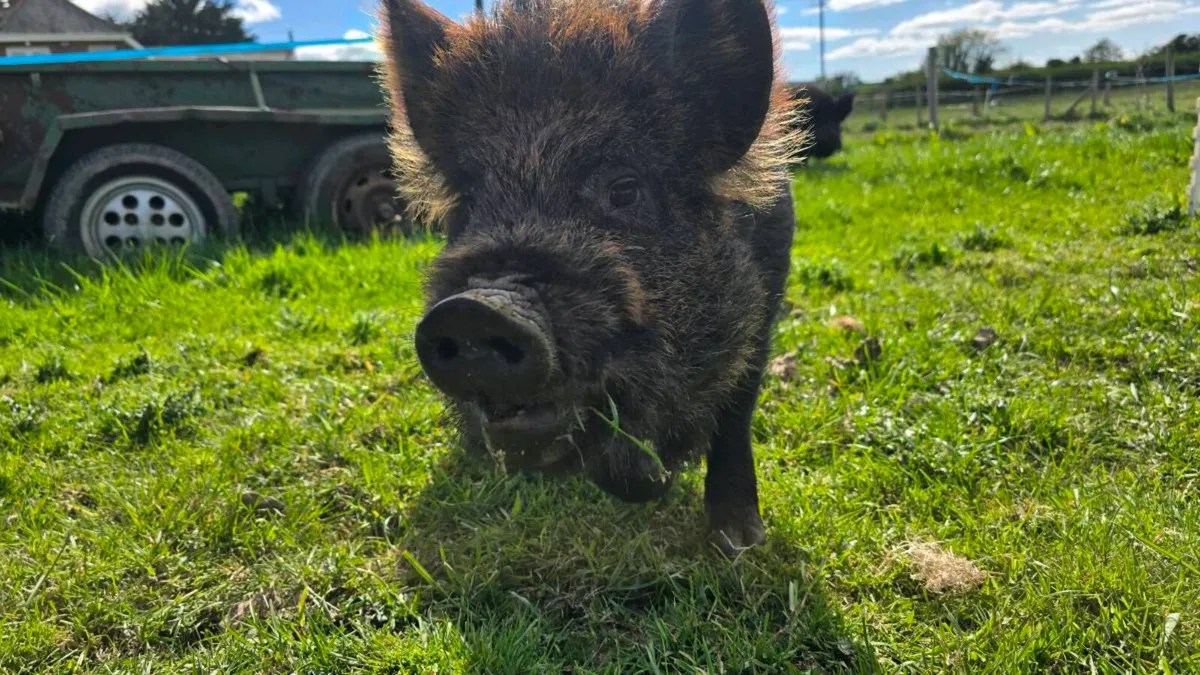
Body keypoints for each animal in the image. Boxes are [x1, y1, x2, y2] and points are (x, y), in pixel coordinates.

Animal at [379, 0, 805, 556]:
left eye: (625, 189)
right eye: (469, 203)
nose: (477, 309)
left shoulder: (766, 301)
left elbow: (736, 411)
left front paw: (739, 542)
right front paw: (648, 480)